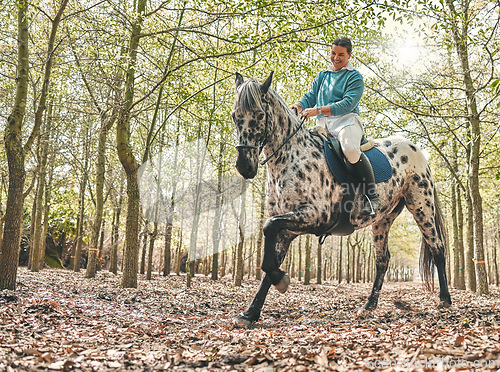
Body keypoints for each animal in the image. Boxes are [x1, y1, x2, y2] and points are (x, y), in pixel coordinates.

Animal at [232, 71, 452, 326]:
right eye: (235, 116)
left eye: (259, 115)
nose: (245, 167)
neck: (292, 157)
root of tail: (416, 149)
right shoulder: (287, 226)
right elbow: (269, 262)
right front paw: (251, 312)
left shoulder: (314, 216)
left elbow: (268, 231)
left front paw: (280, 282)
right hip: (382, 220)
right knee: (382, 260)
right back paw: (368, 306)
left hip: (421, 206)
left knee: (437, 248)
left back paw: (445, 300)